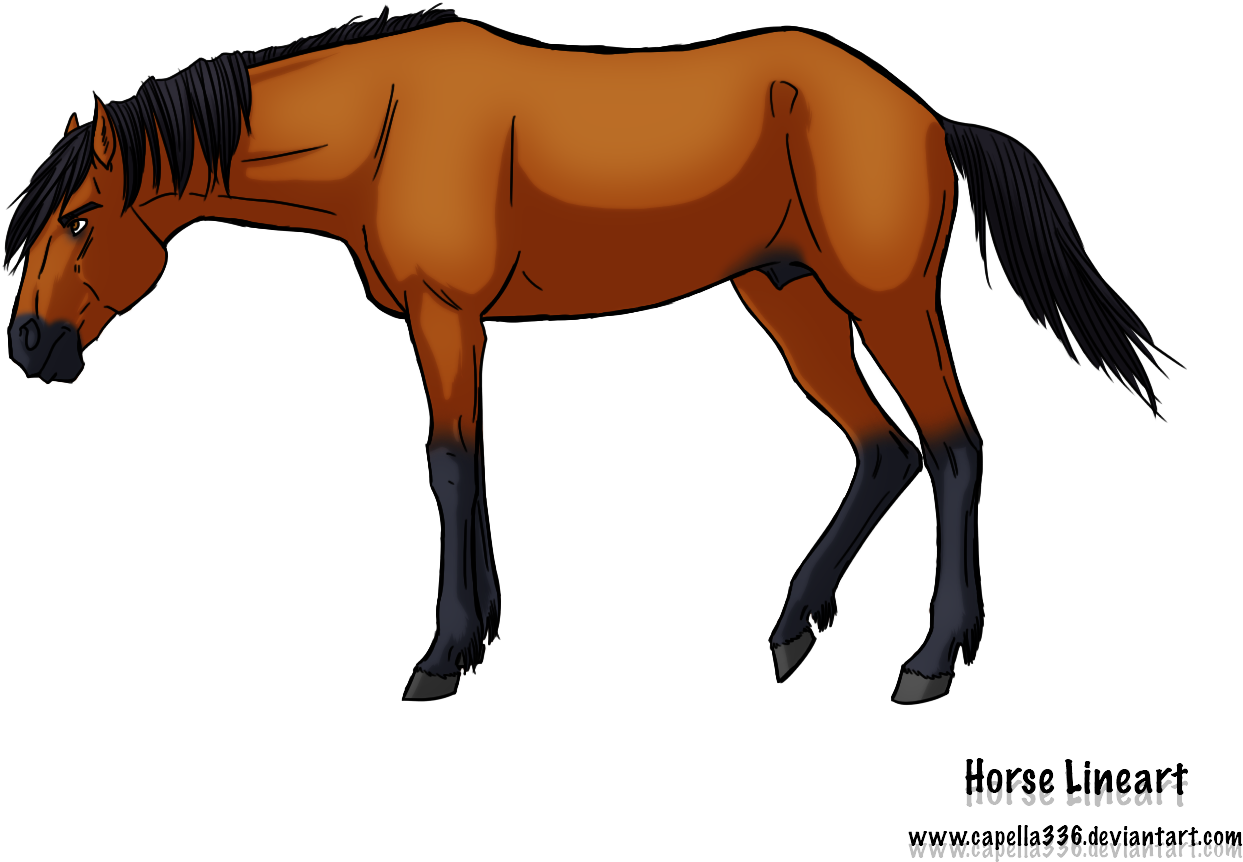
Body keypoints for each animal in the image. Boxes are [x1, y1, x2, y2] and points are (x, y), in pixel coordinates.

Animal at [3, 5, 1180, 705]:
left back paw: (931, 660)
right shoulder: (452, 327)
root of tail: (928, 116)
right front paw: (479, 635)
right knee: (882, 448)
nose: (29, 343)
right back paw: (792, 632)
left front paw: (443, 658)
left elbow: (447, 464)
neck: (384, 123)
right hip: (787, 300)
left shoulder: (444, 317)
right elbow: (468, 464)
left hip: (886, 303)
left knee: (950, 444)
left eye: (79, 218)